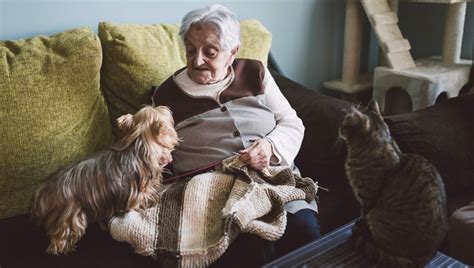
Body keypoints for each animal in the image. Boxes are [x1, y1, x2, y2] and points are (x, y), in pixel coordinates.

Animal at [31, 105, 180, 255]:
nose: (166, 108)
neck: (139, 146)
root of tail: (44, 191)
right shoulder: (137, 194)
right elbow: (140, 201)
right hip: (69, 216)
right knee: (59, 239)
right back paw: (64, 248)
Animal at [338, 99, 446, 266]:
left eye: (345, 123)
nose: (339, 127)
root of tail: (427, 256)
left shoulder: (367, 200)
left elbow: (363, 215)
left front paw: (360, 228)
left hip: (376, 217)